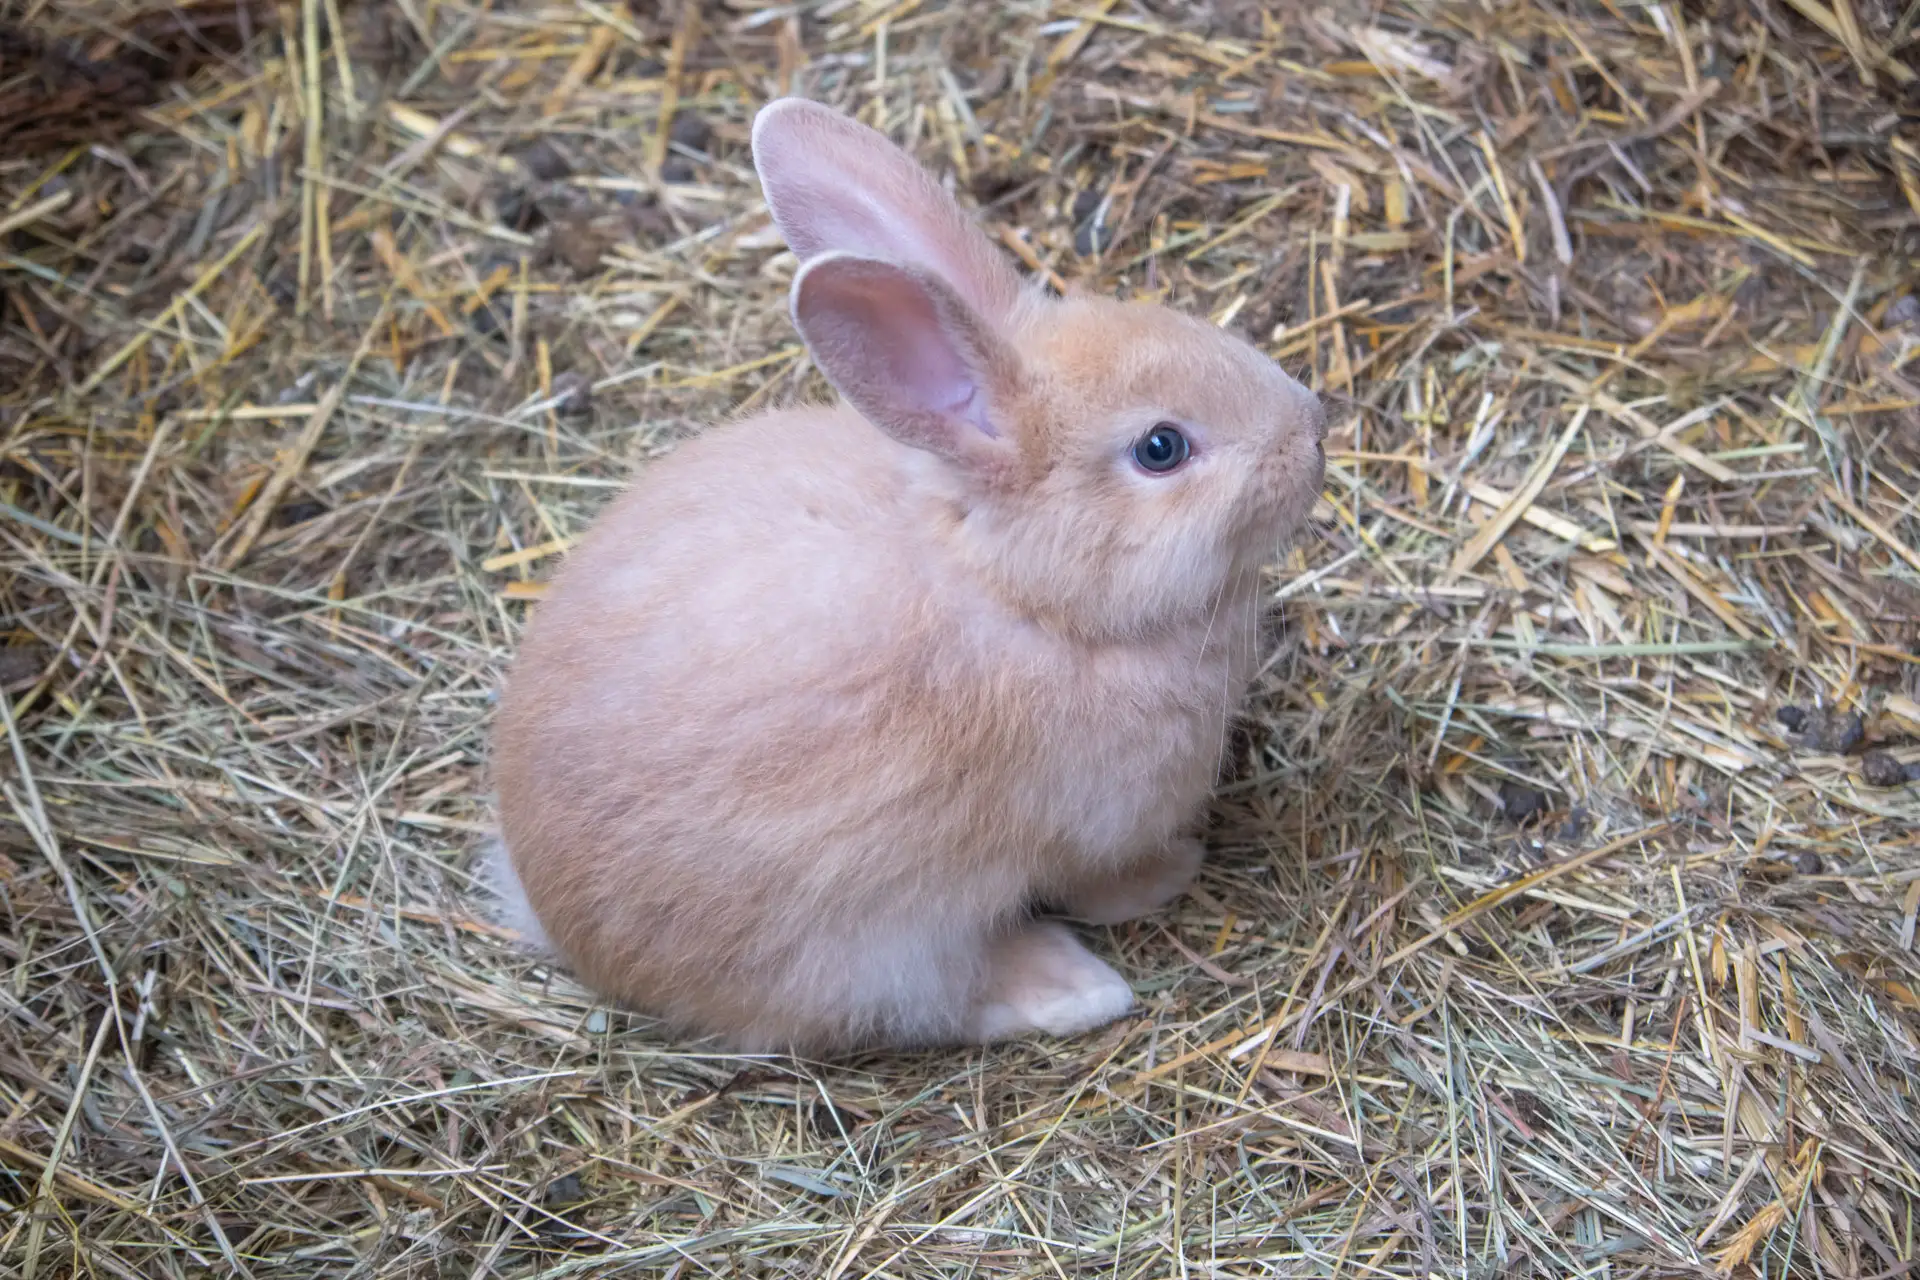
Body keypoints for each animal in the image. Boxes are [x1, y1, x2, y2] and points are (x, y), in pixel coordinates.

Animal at [489, 97, 1325, 1055]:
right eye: (1161, 448)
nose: (1314, 428)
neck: (1025, 598)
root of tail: (557, 920)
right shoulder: (1088, 829)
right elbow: (1099, 883)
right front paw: (1175, 871)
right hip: (869, 945)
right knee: (944, 998)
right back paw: (1078, 990)